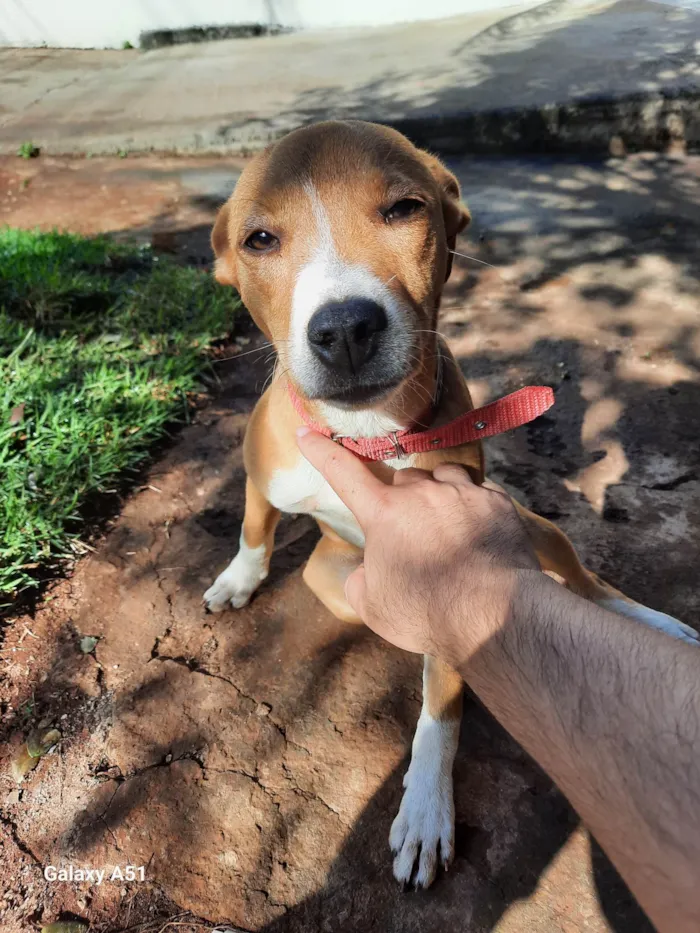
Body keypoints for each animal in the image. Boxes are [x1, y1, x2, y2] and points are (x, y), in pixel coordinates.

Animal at [202, 122, 696, 888]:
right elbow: (255, 529)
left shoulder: (453, 571)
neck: (371, 434)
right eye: (259, 239)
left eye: (405, 208)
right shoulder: (263, 471)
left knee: (586, 582)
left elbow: (443, 706)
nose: (345, 328)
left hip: (530, 525)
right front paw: (239, 579)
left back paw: (655, 622)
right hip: (332, 577)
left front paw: (427, 808)